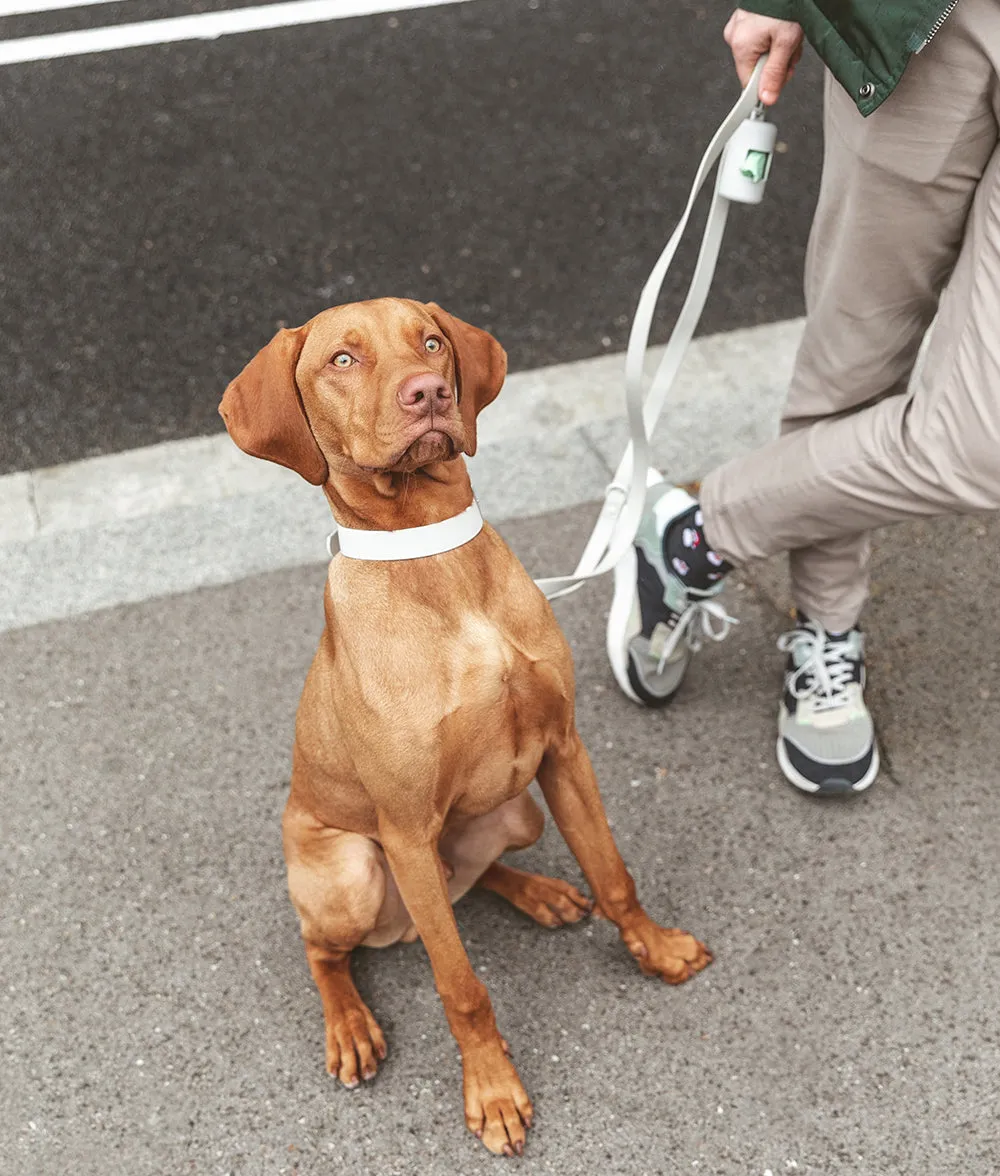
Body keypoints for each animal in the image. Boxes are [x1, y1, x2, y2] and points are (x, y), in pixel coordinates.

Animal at [218, 298, 705, 1152]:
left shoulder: (563, 753)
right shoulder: (407, 829)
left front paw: (655, 947)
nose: (428, 394)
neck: (434, 562)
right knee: (326, 947)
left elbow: (614, 875)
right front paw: (494, 1090)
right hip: (356, 871)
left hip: (518, 810)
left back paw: (542, 893)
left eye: (431, 342)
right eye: (342, 359)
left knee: (467, 880)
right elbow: (460, 983)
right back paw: (349, 1026)